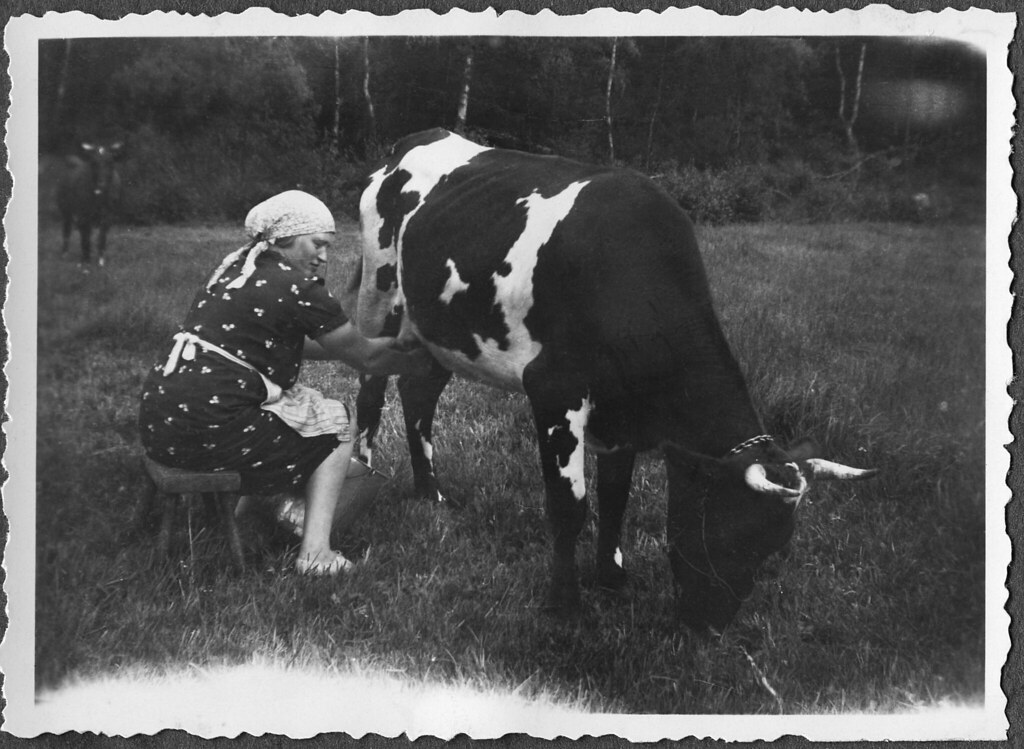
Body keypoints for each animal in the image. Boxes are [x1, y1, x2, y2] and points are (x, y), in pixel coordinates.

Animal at [353, 128, 877, 634]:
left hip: (435, 330)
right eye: (727, 532)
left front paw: (611, 578)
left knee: (418, 394)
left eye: (774, 548)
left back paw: (431, 493)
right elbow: (570, 505)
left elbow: (616, 498)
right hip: (379, 304)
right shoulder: (554, 391)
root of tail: (417, 139)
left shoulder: (621, 411)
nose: (709, 628)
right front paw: (565, 605)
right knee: (370, 392)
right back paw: (360, 474)